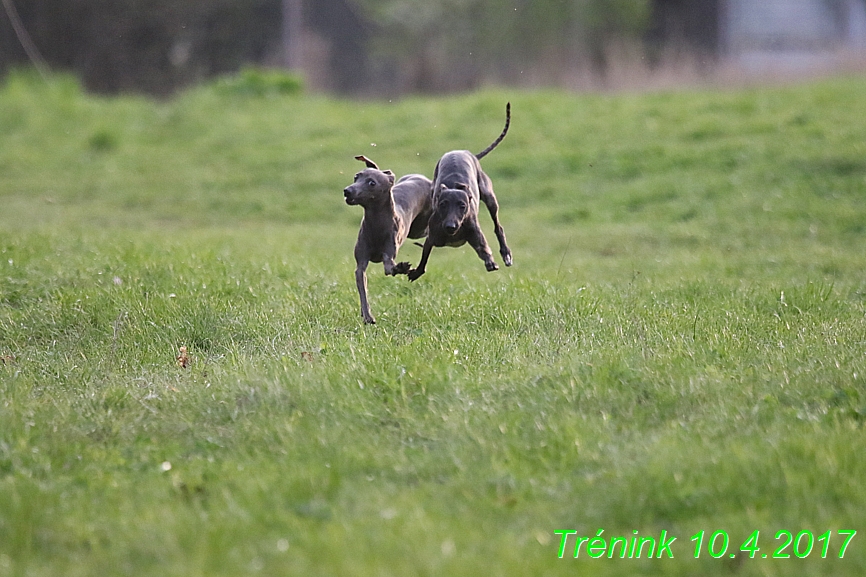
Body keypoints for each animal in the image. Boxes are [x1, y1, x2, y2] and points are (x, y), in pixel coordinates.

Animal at [340, 153, 428, 324]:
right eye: (356, 177)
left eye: (372, 183)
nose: (347, 191)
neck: (376, 225)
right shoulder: (361, 263)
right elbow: (362, 285)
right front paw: (367, 315)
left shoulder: (389, 252)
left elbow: (389, 267)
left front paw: (401, 268)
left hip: (420, 228)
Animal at [406, 103, 510, 284]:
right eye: (442, 204)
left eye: (462, 206)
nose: (450, 226)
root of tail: (465, 152)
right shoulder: (432, 237)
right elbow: (424, 258)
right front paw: (416, 272)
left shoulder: (476, 236)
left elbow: (485, 251)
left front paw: (491, 262)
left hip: (489, 197)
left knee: (498, 226)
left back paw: (506, 253)